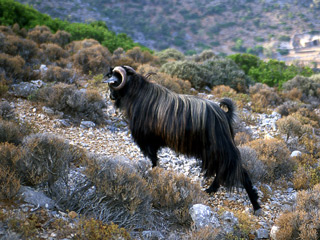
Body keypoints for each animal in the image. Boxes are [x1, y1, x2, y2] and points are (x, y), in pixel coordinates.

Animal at [104, 65, 262, 214]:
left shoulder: (148, 140)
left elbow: (153, 159)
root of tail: (224, 115)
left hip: (220, 149)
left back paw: (255, 205)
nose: (111, 96)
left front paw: (153, 173)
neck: (138, 93)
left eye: (114, 81)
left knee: (237, 171)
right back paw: (213, 190)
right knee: (224, 170)